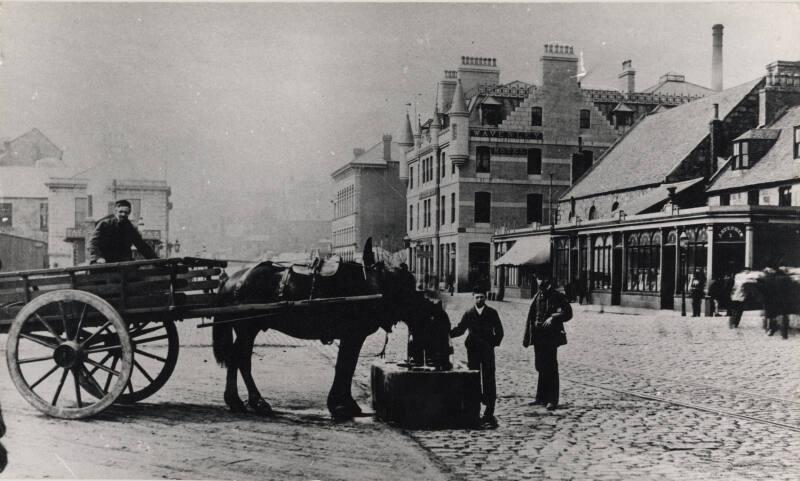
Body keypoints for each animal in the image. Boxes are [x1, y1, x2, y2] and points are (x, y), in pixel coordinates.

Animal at [212, 238, 438, 418]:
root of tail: (232, 280)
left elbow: (346, 365)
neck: (376, 286)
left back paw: (244, 400)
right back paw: (247, 400)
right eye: (408, 288)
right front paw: (342, 404)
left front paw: (342, 402)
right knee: (239, 358)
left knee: (240, 359)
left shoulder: (352, 336)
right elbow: (346, 365)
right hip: (247, 327)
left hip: (247, 329)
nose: (430, 311)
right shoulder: (353, 335)